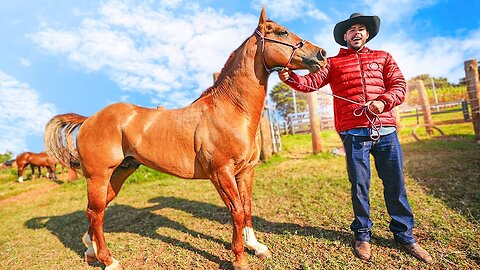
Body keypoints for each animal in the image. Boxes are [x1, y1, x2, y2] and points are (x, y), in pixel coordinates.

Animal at [44, 6, 326, 270]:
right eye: (282, 32)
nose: (321, 55)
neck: (230, 110)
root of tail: (89, 119)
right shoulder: (221, 173)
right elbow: (235, 211)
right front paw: (239, 257)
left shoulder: (246, 171)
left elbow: (247, 209)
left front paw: (256, 247)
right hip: (99, 176)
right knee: (96, 213)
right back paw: (109, 259)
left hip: (120, 173)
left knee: (95, 211)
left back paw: (91, 251)